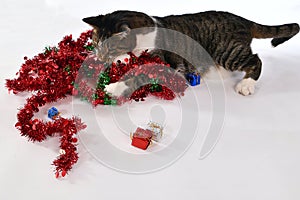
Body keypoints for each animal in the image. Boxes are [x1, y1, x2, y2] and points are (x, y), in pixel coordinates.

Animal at [82, 10, 300, 96]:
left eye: (110, 48)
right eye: (95, 43)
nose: (99, 57)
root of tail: (243, 20)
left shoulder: (165, 64)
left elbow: (140, 75)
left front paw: (114, 87)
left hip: (227, 51)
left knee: (255, 60)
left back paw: (246, 84)